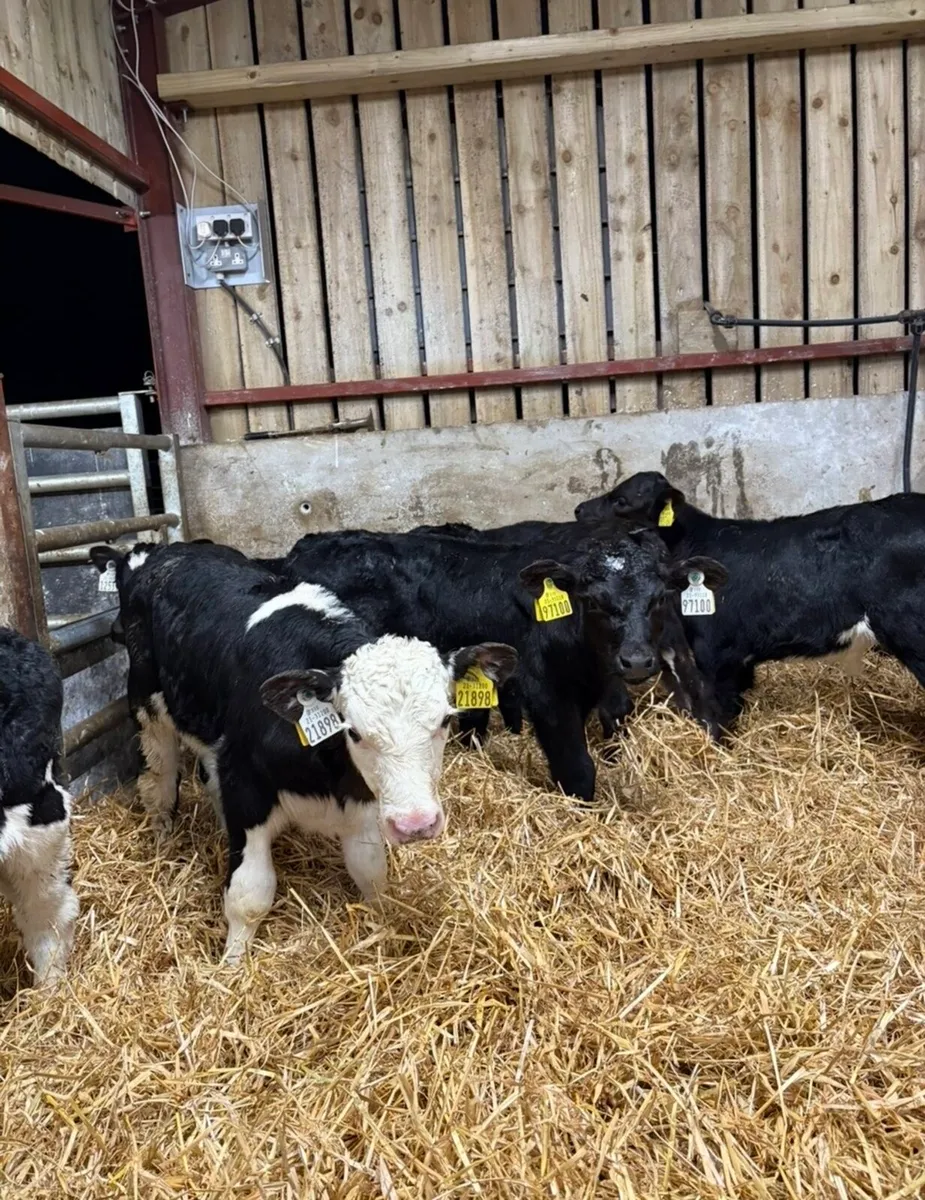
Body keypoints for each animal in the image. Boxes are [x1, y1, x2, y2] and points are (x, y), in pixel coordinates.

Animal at [92, 543, 516, 961]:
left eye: (444, 720)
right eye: (354, 732)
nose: (415, 824)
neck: (327, 773)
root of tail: (165, 550)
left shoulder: (359, 800)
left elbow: (371, 873)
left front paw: (382, 927)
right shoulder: (246, 786)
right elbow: (249, 895)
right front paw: (232, 965)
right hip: (148, 708)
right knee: (159, 782)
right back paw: (162, 839)